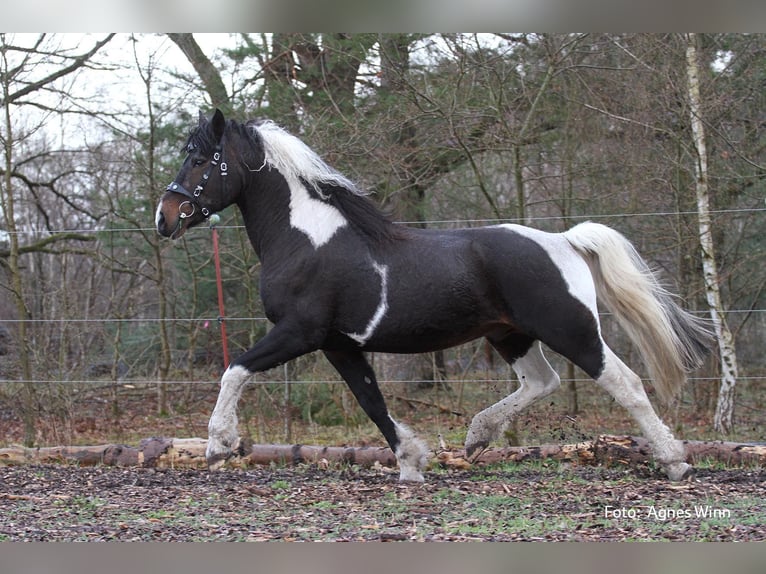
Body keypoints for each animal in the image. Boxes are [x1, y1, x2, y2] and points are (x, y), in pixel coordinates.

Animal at [156, 110, 712, 484]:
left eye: (201, 159)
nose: (165, 217)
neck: (306, 240)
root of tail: (564, 241)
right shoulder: (341, 345)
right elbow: (373, 402)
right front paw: (411, 463)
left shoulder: (300, 332)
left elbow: (235, 370)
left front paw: (218, 444)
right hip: (511, 335)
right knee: (542, 381)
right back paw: (478, 436)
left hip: (571, 330)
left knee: (625, 383)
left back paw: (675, 462)